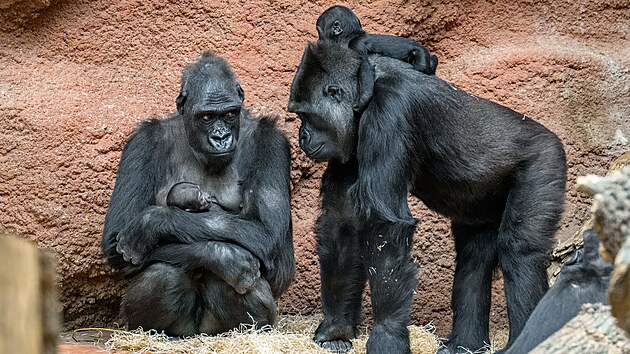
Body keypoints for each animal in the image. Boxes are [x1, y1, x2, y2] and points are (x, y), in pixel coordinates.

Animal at [100, 51, 294, 336]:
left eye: (229, 114)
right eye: (206, 117)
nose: (221, 137)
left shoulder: (272, 143)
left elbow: (270, 241)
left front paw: (151, 223)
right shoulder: (141, 142)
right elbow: (115, 240)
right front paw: (222, 256)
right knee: (164, 273)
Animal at [288, 42, 572, 354]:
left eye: (305, 115)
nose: (302, 136)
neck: (365, 89)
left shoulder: (388, 113)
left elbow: (385, 227)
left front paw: (387, 337)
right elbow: (343, 221)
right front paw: (336, 330)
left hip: (545, 159)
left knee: (521, 252)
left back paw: (525, 341)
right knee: (474, 257)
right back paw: (465, 344)